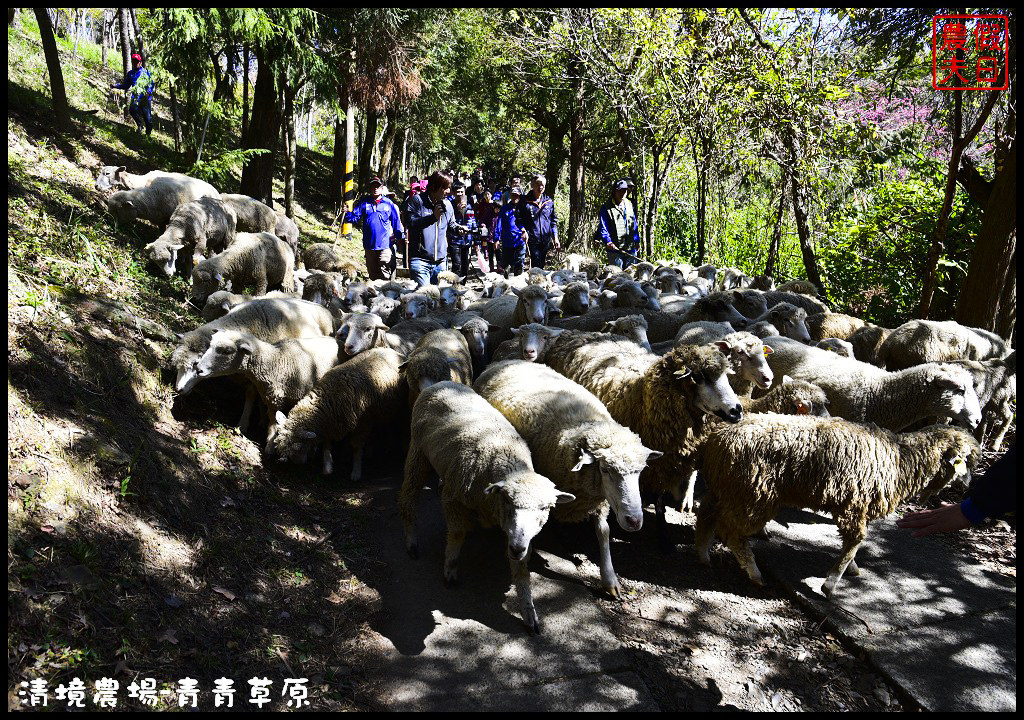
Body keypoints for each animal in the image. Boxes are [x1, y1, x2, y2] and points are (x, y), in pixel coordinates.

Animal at [399, 380, 577, 634]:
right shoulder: (453, 498)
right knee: (408, 496)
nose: (517, 548)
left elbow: (521, 569)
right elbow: (457, 534)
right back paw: (411, 541)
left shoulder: (518, 537)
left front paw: (528, 610)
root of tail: (439, 383)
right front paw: (450, 569)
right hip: (418, 451)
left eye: (546, 508)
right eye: (508, 501)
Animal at [473, 362, 663, 598]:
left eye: (640, 471)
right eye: (606, 469)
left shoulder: (599, 502)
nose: (635, 521)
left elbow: (604, 532)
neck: (589, 424)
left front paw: (609, 578)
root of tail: (502, 363)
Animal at [692, 413, 978, 598]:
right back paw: (754, 573)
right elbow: (855, 542)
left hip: (727, 489)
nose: (968, 488)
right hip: (752, 494)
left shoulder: (855, 506)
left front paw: (850, 568)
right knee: (732, 533)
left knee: (705, 514)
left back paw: (703, 555)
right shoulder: (854, 506)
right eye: (966, 461)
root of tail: (717, 440)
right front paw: (831, 583)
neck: (901, 460)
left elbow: (852, 545)